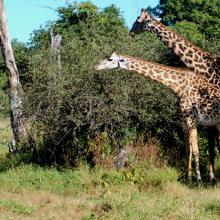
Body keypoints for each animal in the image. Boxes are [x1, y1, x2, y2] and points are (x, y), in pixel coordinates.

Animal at [95, 52, 220, 182]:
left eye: (110, 59)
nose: (95, 66)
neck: (178, 87)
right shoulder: (184, 123)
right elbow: (188, 150)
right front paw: (189, 178)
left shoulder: (192, 121)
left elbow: (195, 150)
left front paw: (199, 180)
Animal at [129, 9, 220, 183]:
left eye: (137, 20)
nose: (130, 32)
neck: (206, 68)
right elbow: (210, 145)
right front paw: (210, 177)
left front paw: (210, 178)